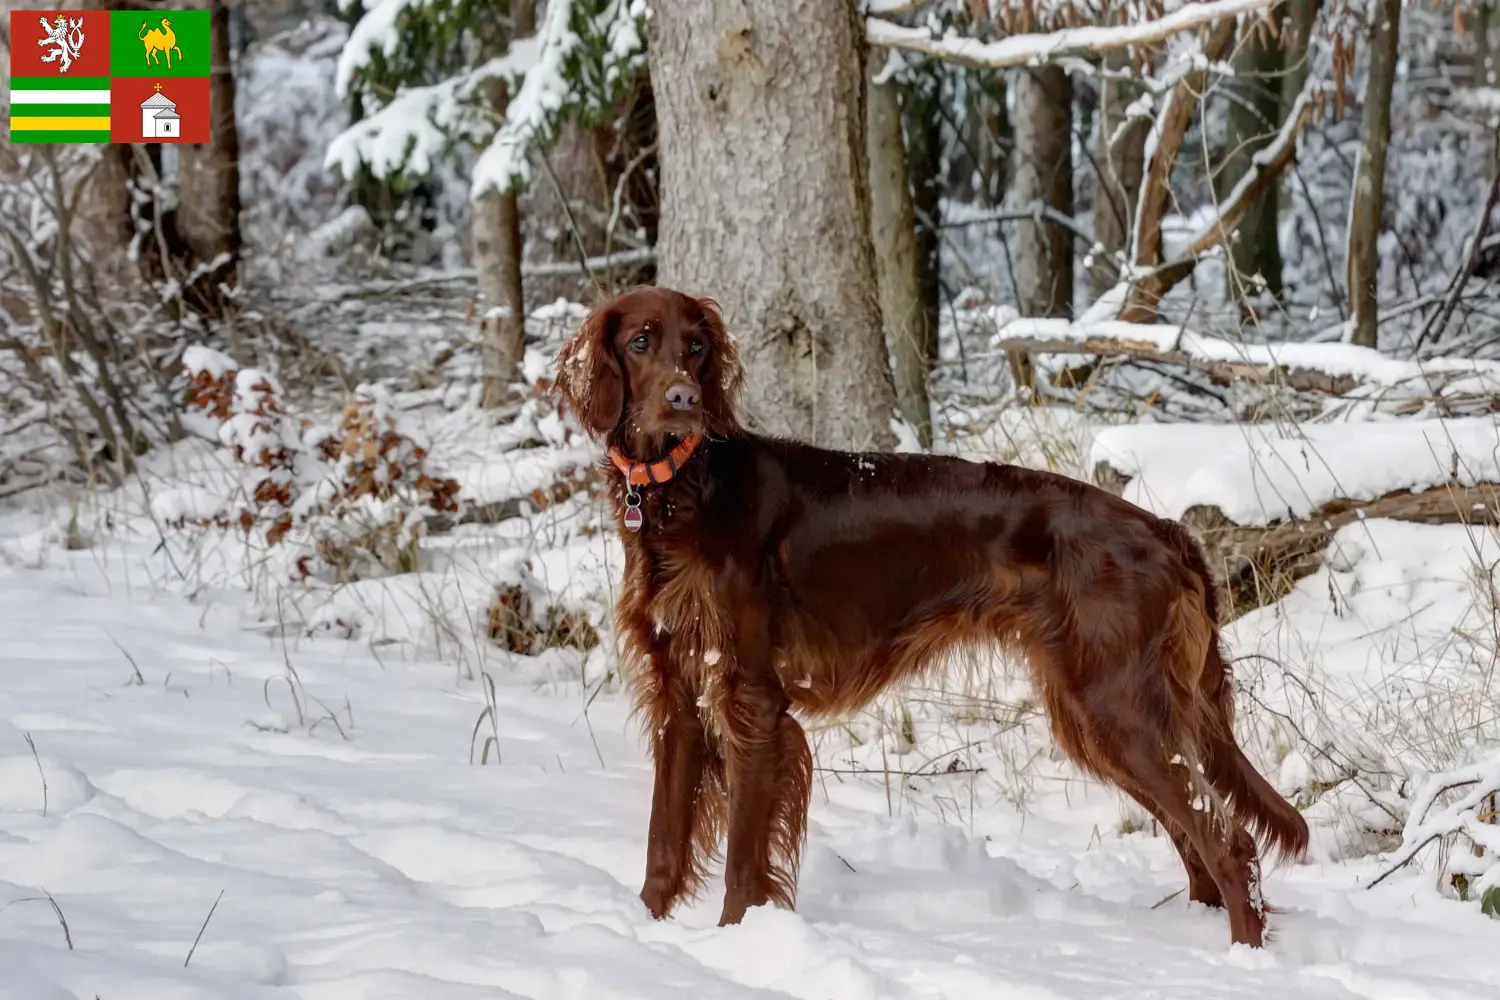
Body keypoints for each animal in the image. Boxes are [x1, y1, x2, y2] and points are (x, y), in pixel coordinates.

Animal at [555, 287, 1314, 947]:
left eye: (697, 346)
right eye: (642, 341)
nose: (684, 401)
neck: (684, 492)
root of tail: (1164, 529)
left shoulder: (751, 700)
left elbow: (744, 856)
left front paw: (738, 942)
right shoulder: (679, 697)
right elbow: (663, 842)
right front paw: (642, 929)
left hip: (1116, 707)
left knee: (1226, 839)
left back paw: (1244, 958)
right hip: (1103, 713)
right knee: (1195, 839)